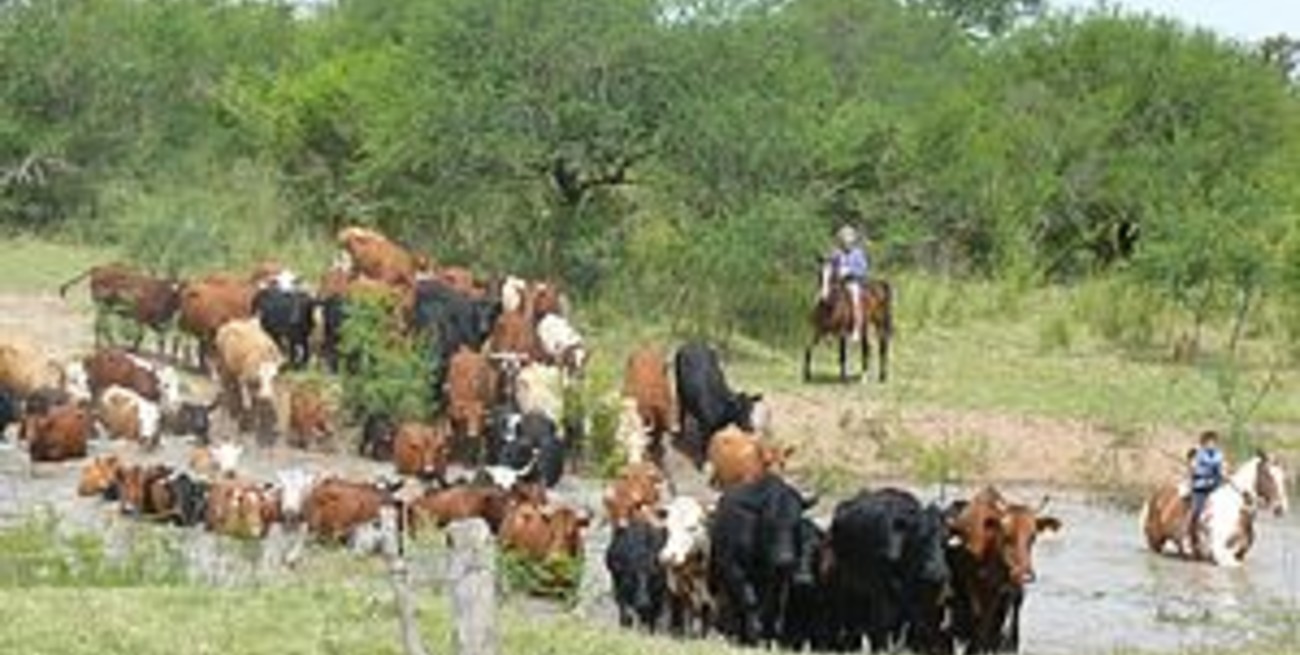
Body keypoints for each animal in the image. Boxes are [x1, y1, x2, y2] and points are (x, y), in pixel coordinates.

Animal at [709, 473, 816, 646]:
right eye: (768, 522)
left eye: (797, 522)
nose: (785, 559)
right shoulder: (735, 569)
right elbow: (749, 601)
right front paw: (753, 634)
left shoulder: (778, 579)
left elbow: (772, 606)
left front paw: (768, 636)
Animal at [827, 488, 953, 654]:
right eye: (920, 538)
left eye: (945, 538)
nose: (936, 571)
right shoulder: (882, 593)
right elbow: (883, 624)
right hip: (848, 582)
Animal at [946, 487, 1062, 654]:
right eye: (1007, 535)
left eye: (1032, 537)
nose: (1026, 575)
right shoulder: (973, 586)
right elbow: (978, 616)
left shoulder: (999, 590)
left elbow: (989, 620)